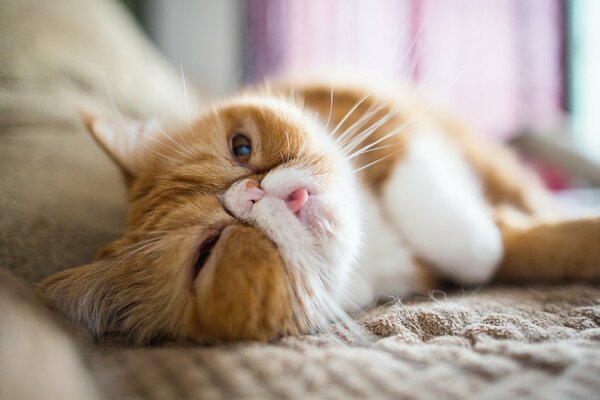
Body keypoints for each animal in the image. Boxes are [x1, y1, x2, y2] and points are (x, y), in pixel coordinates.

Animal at [37, 79, 600, 344]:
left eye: (241, 148)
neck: (375, 248)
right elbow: (518, 250)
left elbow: (456, 227)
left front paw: (478, 238)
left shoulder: (377, 111)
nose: (255, 196)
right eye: (207, 252)